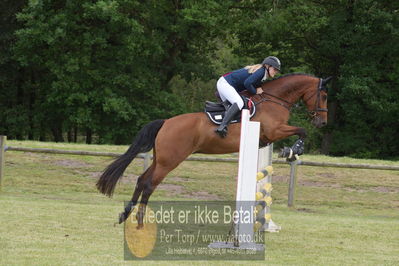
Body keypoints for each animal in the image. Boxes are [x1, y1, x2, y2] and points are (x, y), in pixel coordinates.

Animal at [97, 72, 332, 227]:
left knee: (141, 179)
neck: (275, 99)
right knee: (149, 184)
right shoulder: (274, 131)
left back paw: (125, 215)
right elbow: (302, 131)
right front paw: (292, 151)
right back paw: (139, 222)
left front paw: (290, 151)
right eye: (324, 96)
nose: (322, 122)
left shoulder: (267, 137)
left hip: (160, 159)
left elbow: (299, 131)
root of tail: (165, 123)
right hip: (170, 161)